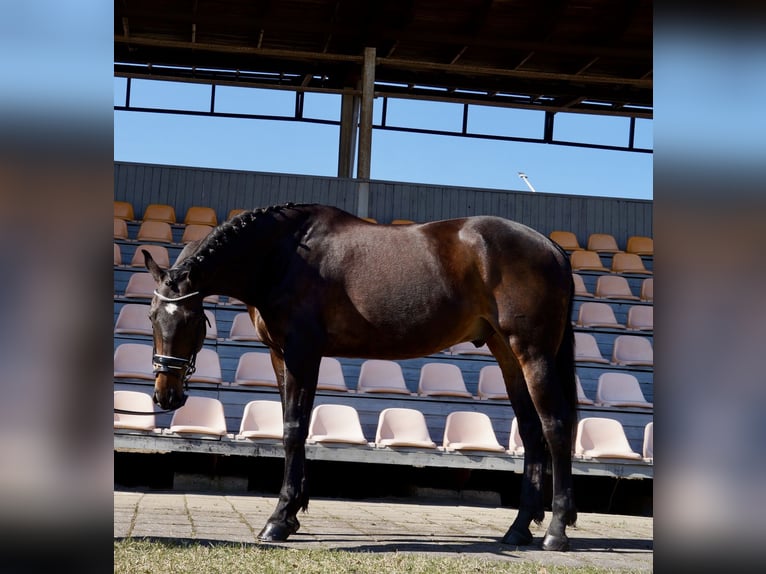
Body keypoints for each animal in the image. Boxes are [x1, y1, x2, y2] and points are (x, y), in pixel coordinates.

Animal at [143, 202, 577, 551]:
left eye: (189, 321)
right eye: (152, 317)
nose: (166, 395)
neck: (283, 255)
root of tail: (551, 247)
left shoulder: (302, 352)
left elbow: (294, 428)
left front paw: (279, 520)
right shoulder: (279, 355)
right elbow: (291, 425)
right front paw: (294, 511)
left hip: (533, 353)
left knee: (555, 428)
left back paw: (555, 531)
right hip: (507, 355)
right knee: (531, 432)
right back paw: (519, 529)